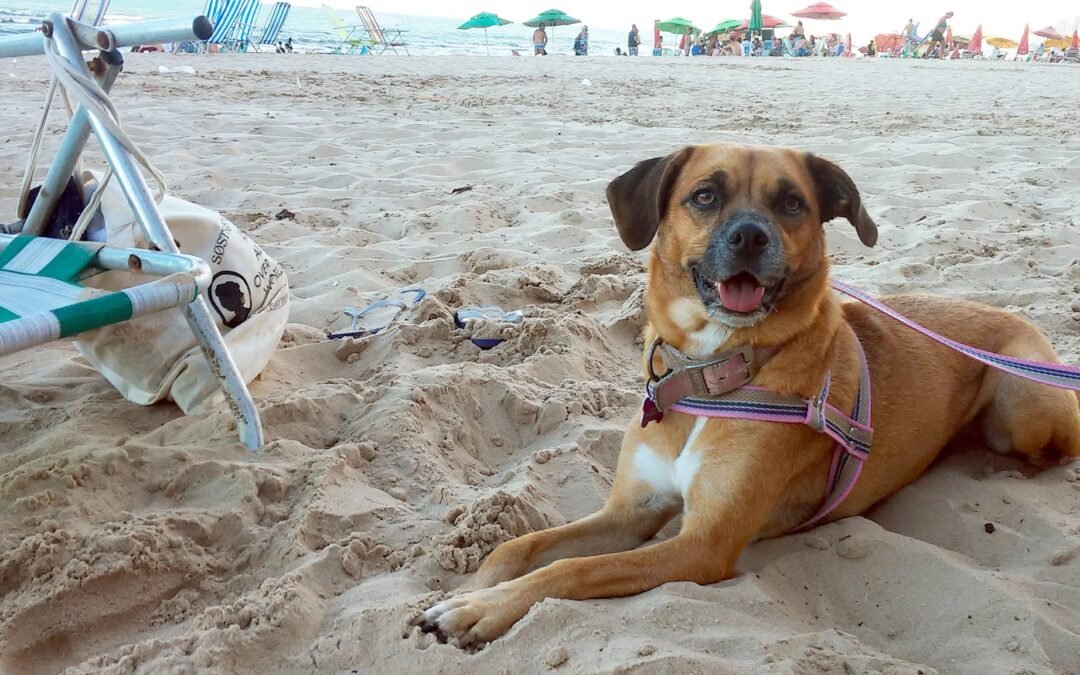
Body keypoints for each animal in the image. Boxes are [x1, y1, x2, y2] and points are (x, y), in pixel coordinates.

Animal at [410, 142, 1080, 648]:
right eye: (705, 195)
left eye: (791, 203)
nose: (751, 238)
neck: (710, 370)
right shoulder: (632, 512)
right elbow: (522, 547)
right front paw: (468, 592)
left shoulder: (700, 545)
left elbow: (573, 570)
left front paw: (480, 610)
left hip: (1023, 406)